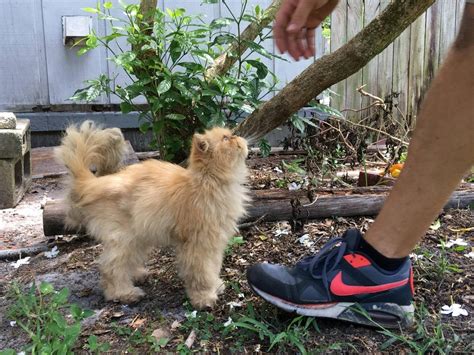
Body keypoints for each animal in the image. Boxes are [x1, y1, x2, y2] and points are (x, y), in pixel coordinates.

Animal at [55, 121, 248, 308]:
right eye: (226, 138)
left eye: (230, 135)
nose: (238, 136)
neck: (207, 183)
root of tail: (92, 183)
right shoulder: (198, 245)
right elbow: (202, 274)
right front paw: (205, 298)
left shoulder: (214, 244)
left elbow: (213, 267)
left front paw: (216, 285)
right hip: (124, 239)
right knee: (110, 268)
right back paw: (124, 294)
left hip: (139, 238)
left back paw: (138, 275)